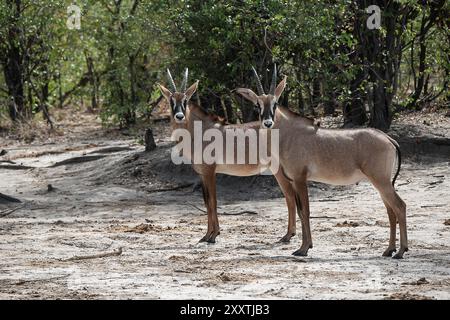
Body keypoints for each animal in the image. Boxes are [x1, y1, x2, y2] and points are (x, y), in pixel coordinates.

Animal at [158, 68, 298, 242]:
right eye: (171, 101)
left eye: (185, 100)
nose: (179, 116)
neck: (199, 131)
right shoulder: (202, 174)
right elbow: (206, 201)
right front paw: (207, 235)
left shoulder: (210, 172)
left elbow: (212, 201)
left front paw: (213, 235)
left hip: (278, 170)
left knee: (289, 196)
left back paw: (288, 235)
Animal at [236, 65, 408, 258]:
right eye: (257, 104)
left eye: (275, 103)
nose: (267, 123)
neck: (289, 134)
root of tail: (388, 139)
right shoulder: (293, 180)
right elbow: (300, 211)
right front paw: (306, 246)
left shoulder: (300, 179)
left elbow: (305, 210)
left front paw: (303, 248)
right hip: (380, 182)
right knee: (390, 210)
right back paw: (389, 250)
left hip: (381, 181)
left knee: (400, 206)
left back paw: (401, 251)